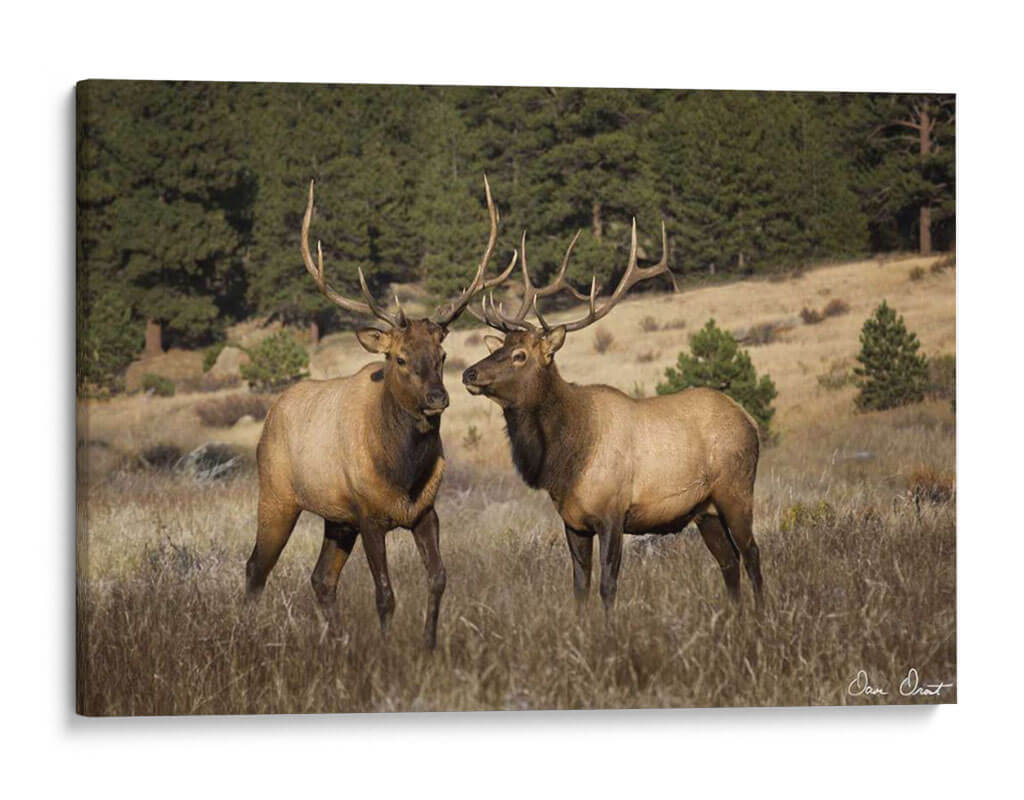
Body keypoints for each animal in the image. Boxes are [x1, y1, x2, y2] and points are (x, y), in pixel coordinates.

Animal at [246, 177, 516, 648]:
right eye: (399, 359)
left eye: (442, 355)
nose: (437, 399)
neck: (402, 472)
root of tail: (272, 414)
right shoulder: (368, 514)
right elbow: (385, 594)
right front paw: (388, 650)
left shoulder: (425, 512)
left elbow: (438, 579)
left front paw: (428, 645)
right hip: (277, 494)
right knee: (255, 568)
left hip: (336, 519)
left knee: (321, 579)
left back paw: (336, 642)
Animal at [461, 221, 764, 616]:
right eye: (499, 347)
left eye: (519, 355)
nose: (469, 373)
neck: (564, 459)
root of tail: (749, 419)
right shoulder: (572, 521)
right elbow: (579, 587)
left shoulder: (612, 513)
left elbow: (608, 586)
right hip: (705, 510)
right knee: (728, 561)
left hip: (737, 490)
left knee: (752, 554)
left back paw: (762, 616)